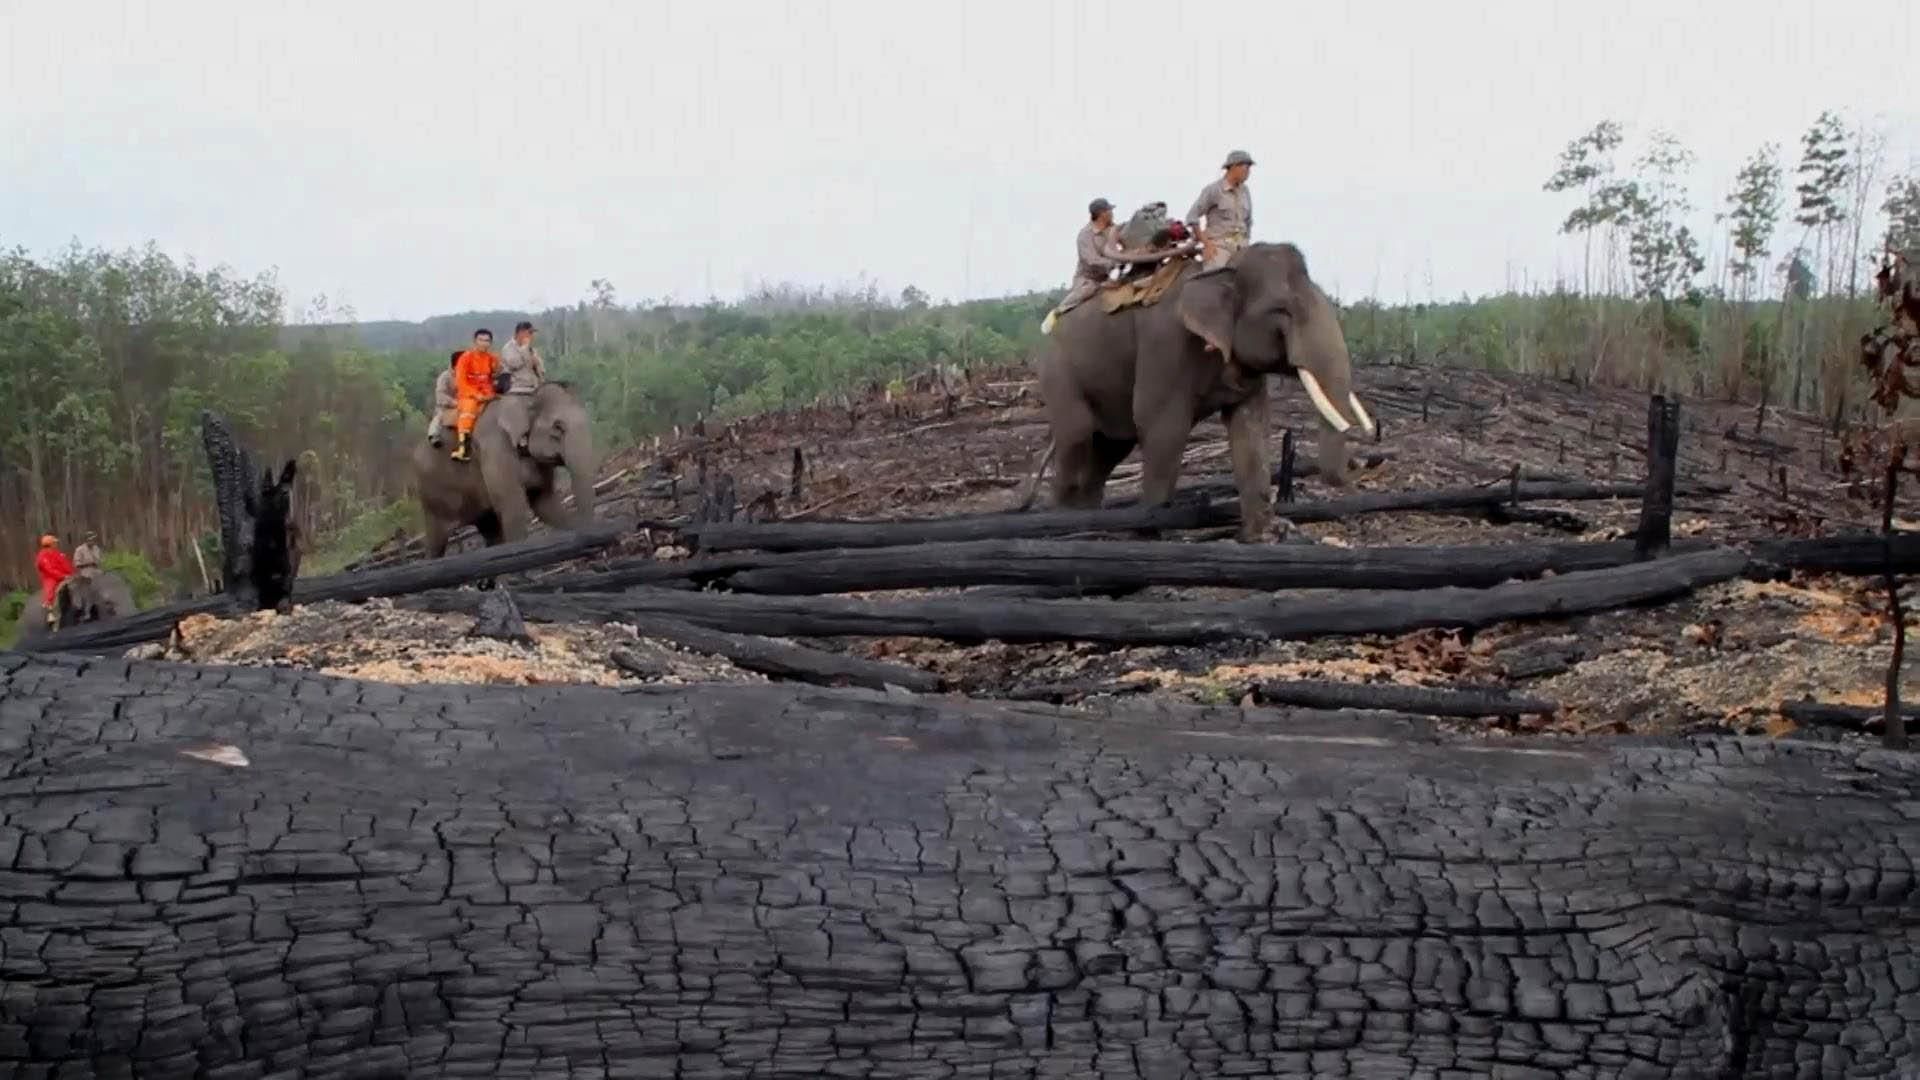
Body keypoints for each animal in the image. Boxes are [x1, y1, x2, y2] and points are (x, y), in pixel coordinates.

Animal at [412, 380, 599, 553]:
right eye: (558, 428)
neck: (525, 397)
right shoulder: (494, 445)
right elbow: (512, 505)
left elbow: (544, 502)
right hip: (433, 496)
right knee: (436, 541)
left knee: (489, 528)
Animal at [1036, 242, 1382, 538]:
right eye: (1282, 310)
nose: (1367, 460)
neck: (1223, 269)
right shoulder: (1165, 347)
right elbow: (1163, 428)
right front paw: (1150, 533)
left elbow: (1251, 426)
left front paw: (1268, 535)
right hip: (1059, 372)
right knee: (1077, 435)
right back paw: (1065, 524)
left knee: (1109, 448)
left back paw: (1090, 525)